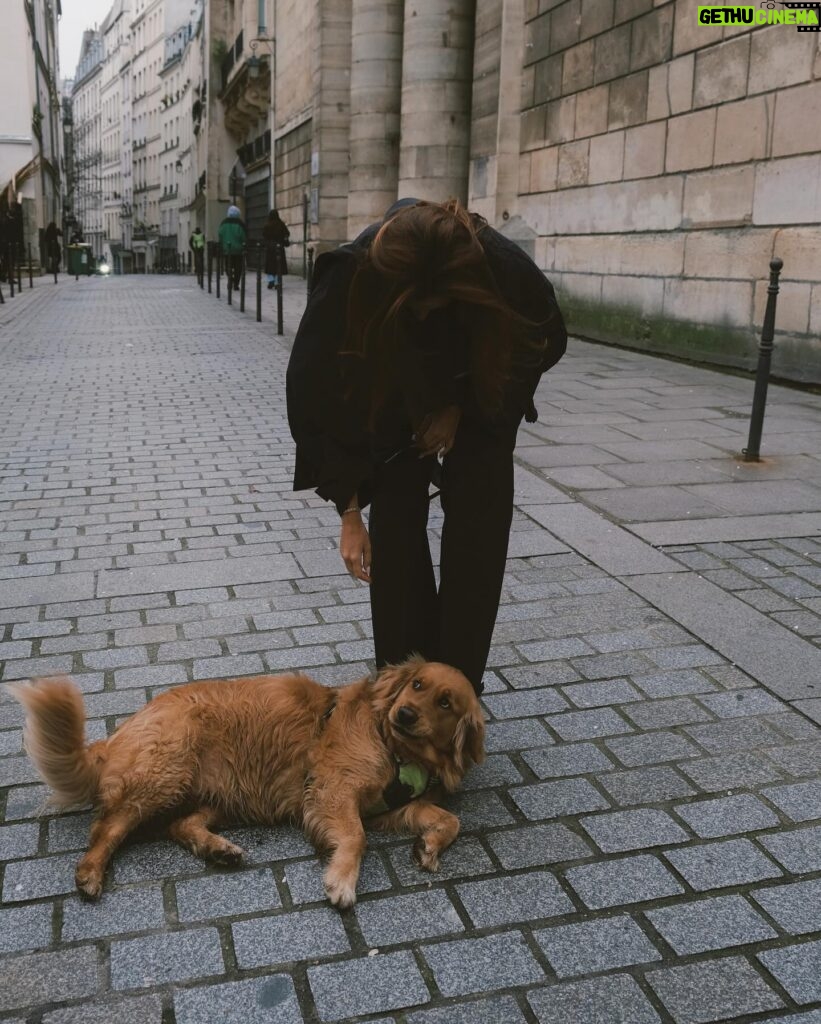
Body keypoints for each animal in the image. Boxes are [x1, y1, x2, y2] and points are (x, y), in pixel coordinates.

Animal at [7, 655, 479, 905]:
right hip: (166, 774)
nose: (406, 714)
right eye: (416, 685)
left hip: (220, 793)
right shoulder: (332, 791)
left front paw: (429, 845)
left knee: (181, 824)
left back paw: (218, 849)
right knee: (106, 826)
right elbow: (356, 837)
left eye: (445, 702)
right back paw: (89, 872)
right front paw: (342, 879)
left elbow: (451, 820)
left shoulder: (389, 808)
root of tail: (122, 730)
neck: (394, 746)